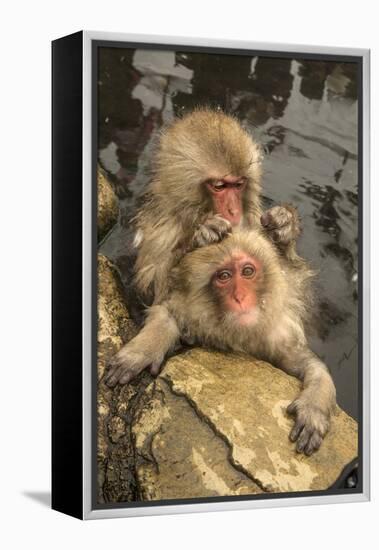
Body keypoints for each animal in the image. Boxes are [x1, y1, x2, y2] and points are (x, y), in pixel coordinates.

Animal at [105, 229, 336, 458]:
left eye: (248, 271)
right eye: (224, 276)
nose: (240, 297)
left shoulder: (274, 335)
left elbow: (307, 364)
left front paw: (314, 407)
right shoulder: (190, 308)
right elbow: (167, 313)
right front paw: (143, 351)